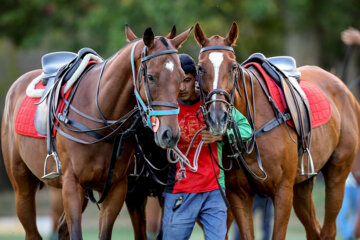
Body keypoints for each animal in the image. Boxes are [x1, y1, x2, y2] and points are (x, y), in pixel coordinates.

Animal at [1, 25, 193, 239]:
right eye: (151, 77)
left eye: (181, 78)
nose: (170, 134)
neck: (100, 115)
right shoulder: (72, 186)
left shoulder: (117, 189)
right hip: (22, 187)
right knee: (32, 230)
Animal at [194, 21, 360, 239]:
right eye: (200, 68)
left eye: (232, 67)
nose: (217, 117)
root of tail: (343, 87)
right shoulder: (238, 195)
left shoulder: (283, 191)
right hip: (303, 184)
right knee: (314, 230)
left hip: (337, 175)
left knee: (328, 230)